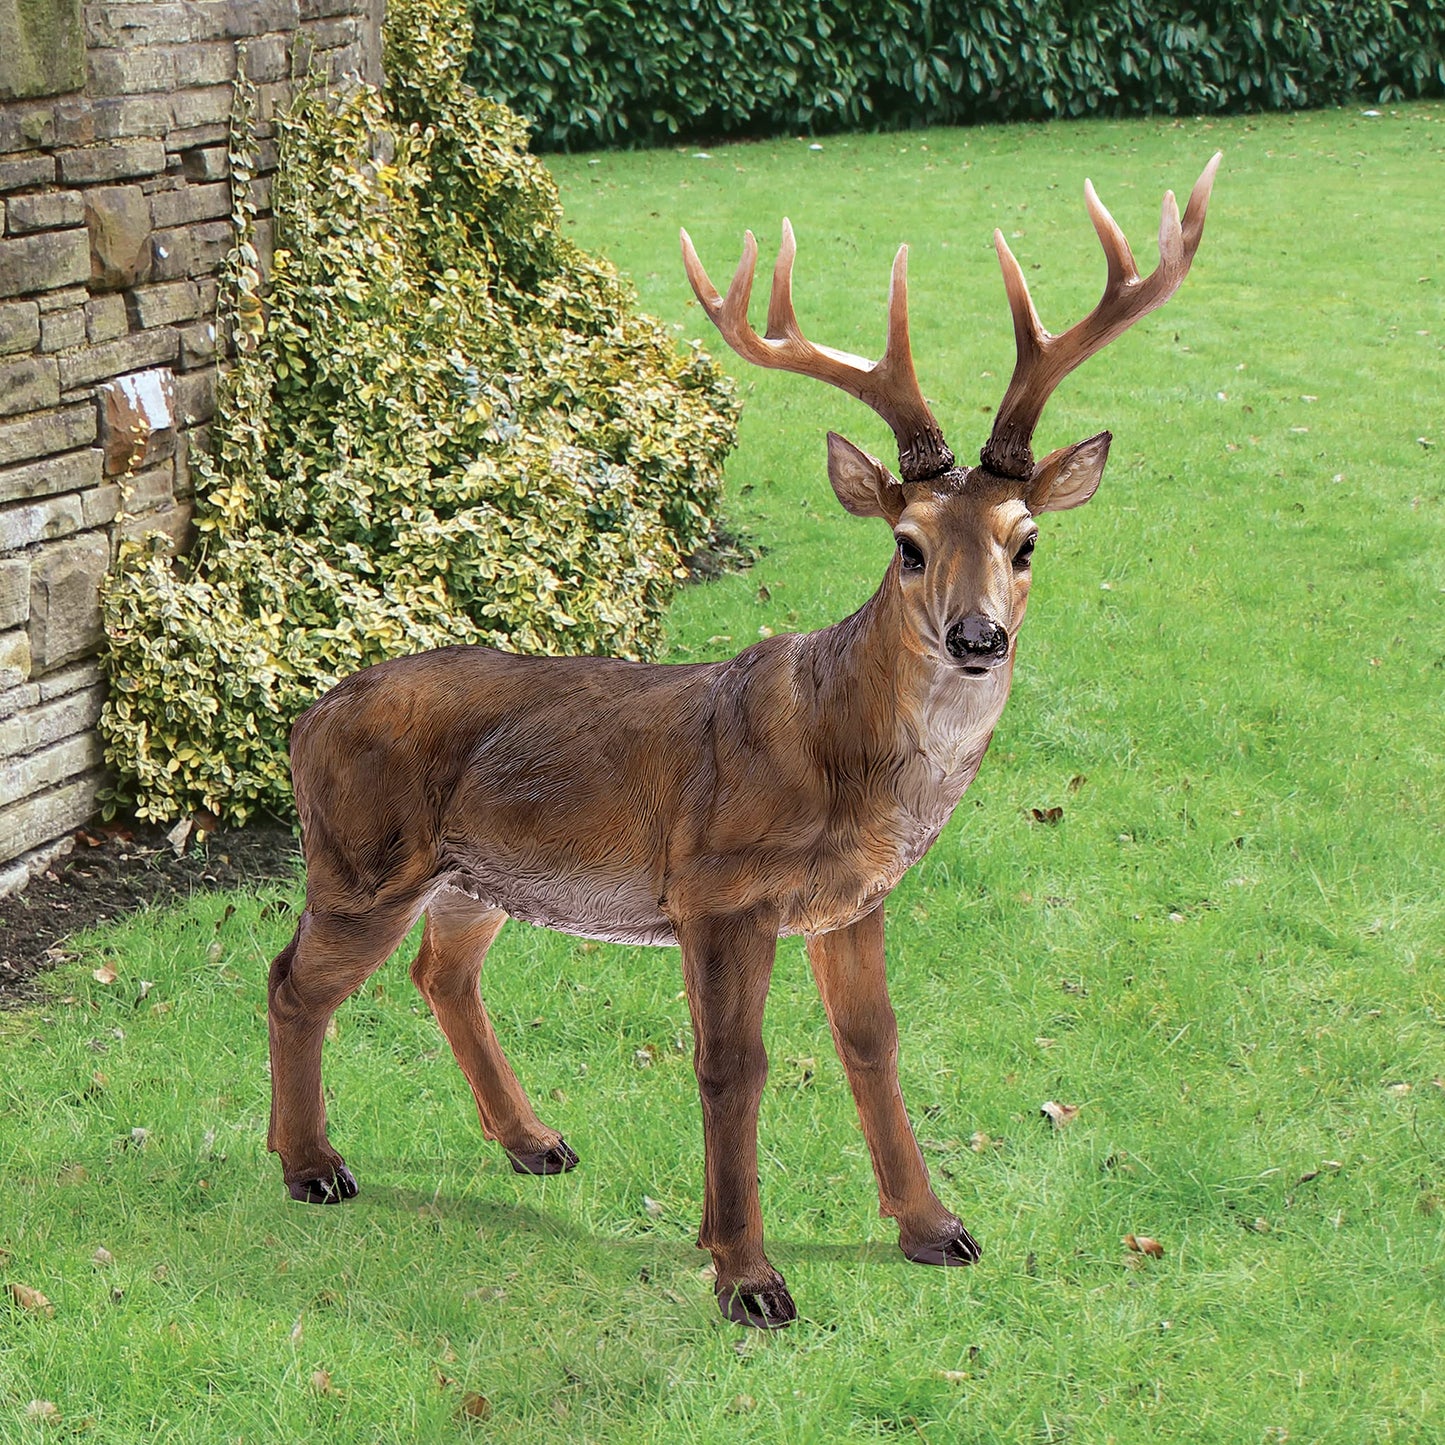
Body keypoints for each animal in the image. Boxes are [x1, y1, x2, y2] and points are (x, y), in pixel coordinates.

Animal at [266, 155, 1220, 1329]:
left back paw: (533, 1141)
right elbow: (733, 1064)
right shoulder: (717, 888)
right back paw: (311, 1163)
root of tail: (307, 716)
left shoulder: (852, 901)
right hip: (361, 856)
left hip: (472, 876)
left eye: (1025, 540)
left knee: (441, 973)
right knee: (295, 980)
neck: (848, 770)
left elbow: (872, 1041)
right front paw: (746, 1273)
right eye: (907, 545)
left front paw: (932, 1226)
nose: (976, 637)